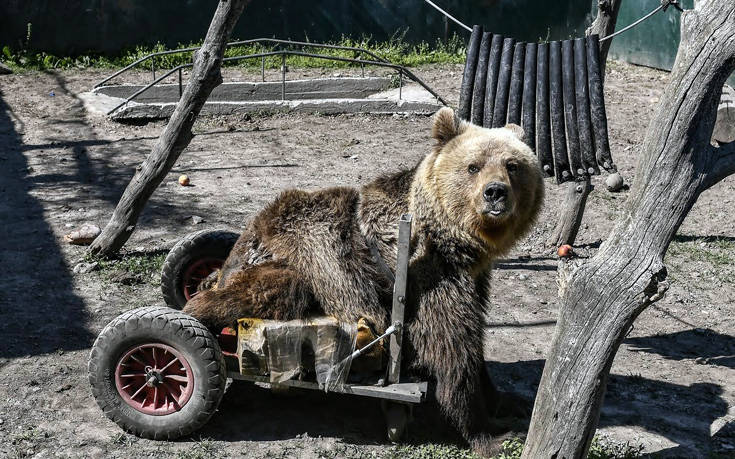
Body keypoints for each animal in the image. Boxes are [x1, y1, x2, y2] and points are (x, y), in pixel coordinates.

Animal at [181, 108, 544, 456]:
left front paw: (509, 401)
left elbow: (474, 343)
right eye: (473, 166)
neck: (455, 240)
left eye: (512, 165)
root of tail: (240, 248)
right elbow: (452, 349)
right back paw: (195, 315)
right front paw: (491, 435)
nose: (495, 193)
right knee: (261, 293)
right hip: (297, 261)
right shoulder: (428, 276)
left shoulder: (473, 278)